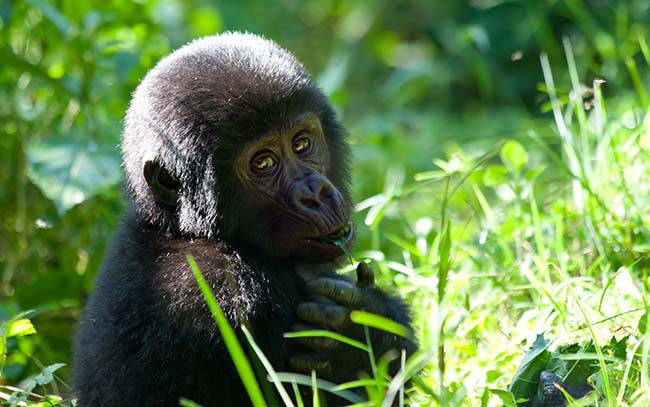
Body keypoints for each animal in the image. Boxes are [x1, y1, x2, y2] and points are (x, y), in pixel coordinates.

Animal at [72, 32, 416, 407]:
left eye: (301, 143)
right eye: (262, 163)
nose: (315, 195)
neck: (183, 231)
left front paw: (366, 324)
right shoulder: (229, 291)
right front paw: (356, 342)